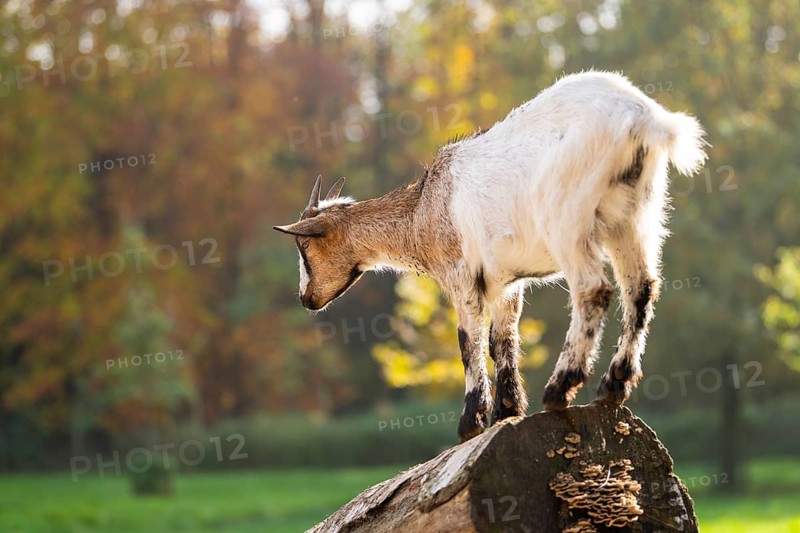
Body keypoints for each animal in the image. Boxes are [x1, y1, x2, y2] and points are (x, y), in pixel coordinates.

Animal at [274, 71, 707, 442]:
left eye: (304, 248)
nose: (306, 299)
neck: (423, 209)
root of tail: (645, 118)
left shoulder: (461, 274)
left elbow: (469, 341)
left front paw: (471, 422)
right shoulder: (504, 282)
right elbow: (504, 339)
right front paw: (507, 412)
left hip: (569, 218)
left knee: (593, 290)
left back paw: (560, 389)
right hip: (635, 217)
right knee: (641, 288)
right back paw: (613, 385)